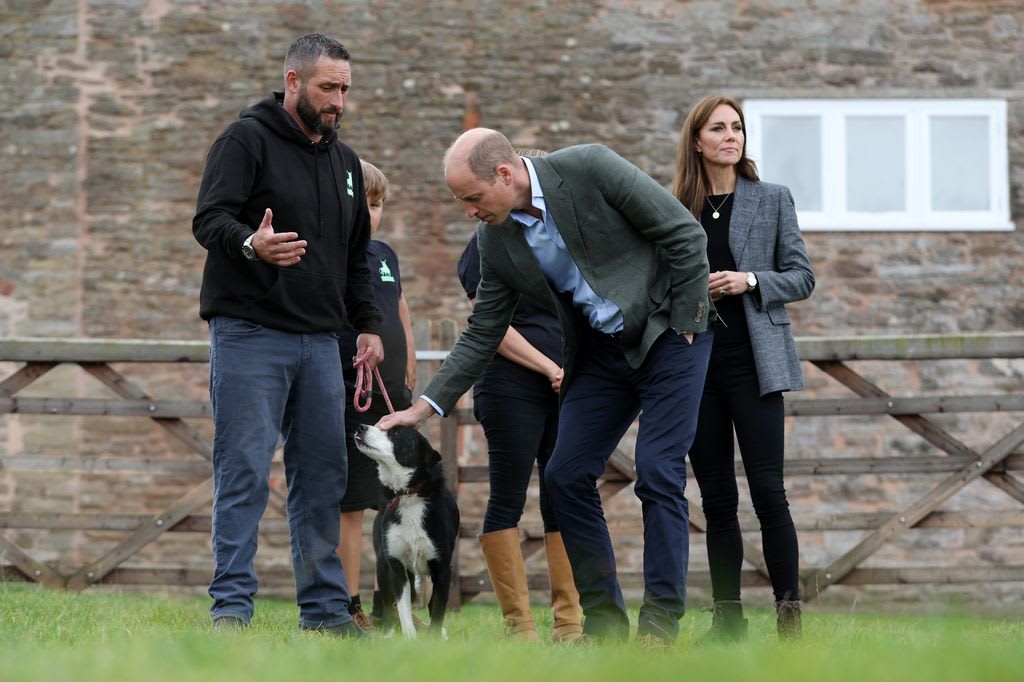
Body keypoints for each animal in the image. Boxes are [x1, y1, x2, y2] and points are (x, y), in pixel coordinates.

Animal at [356, 421, 460, 634]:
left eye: (396, 432)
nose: (361, 427)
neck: (408, 494)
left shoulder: (443, 570)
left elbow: (437, 611)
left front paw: (434, 637)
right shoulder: (396, 566)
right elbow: (402, 610)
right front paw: (408, 638)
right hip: (382, 564)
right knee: (388, 603)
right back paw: (388, 632)